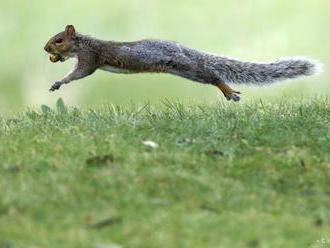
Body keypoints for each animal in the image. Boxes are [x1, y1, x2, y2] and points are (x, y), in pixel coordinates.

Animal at [43, 24, 320, 101]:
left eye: (58, 40)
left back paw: (228, 91)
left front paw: (59, 82)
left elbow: (79, 74)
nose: (46, 49)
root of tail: (183, 49)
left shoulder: (91, 58)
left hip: (187, 69)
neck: (83, 43)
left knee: (213, 76)